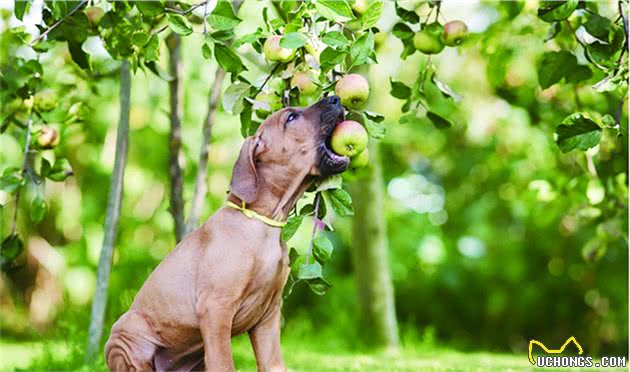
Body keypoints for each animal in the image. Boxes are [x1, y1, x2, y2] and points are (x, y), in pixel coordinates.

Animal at [104, 96, 350, 372]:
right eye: (291, 117)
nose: (335, 98)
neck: (263, 223)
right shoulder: (216, 309)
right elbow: (224, 363)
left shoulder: (268, 317)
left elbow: (274, 364)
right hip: (125, 336)